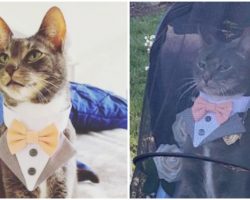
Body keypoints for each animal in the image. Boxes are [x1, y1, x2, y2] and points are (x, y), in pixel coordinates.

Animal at [173, 27, 250, 198]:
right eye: (201, 64)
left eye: (225, 67)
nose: (206, 76)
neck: (213, 107)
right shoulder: (190, 171)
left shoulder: (236, 180)